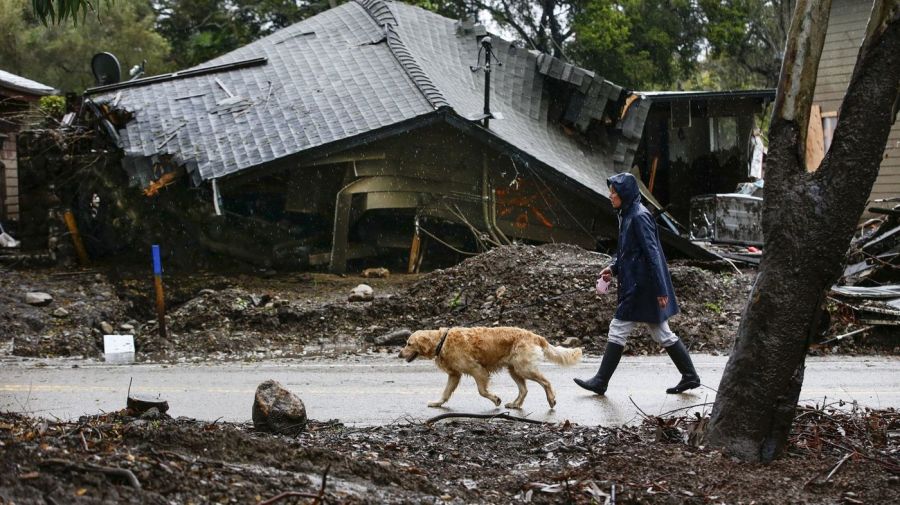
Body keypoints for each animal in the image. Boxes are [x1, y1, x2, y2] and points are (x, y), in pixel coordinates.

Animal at [398, 328, 580, 408]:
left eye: (409, 344)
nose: (399, 354)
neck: (442, 341)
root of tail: (535, 335)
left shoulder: (477, 370)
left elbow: (482, 391)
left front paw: (495, 399)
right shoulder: (454, 375)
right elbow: (445, 393)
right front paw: (437, 403)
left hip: (524, 368)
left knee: (546, 382)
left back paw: (551, 400)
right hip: (514, 369)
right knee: (524, 389)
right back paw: (515, 404)